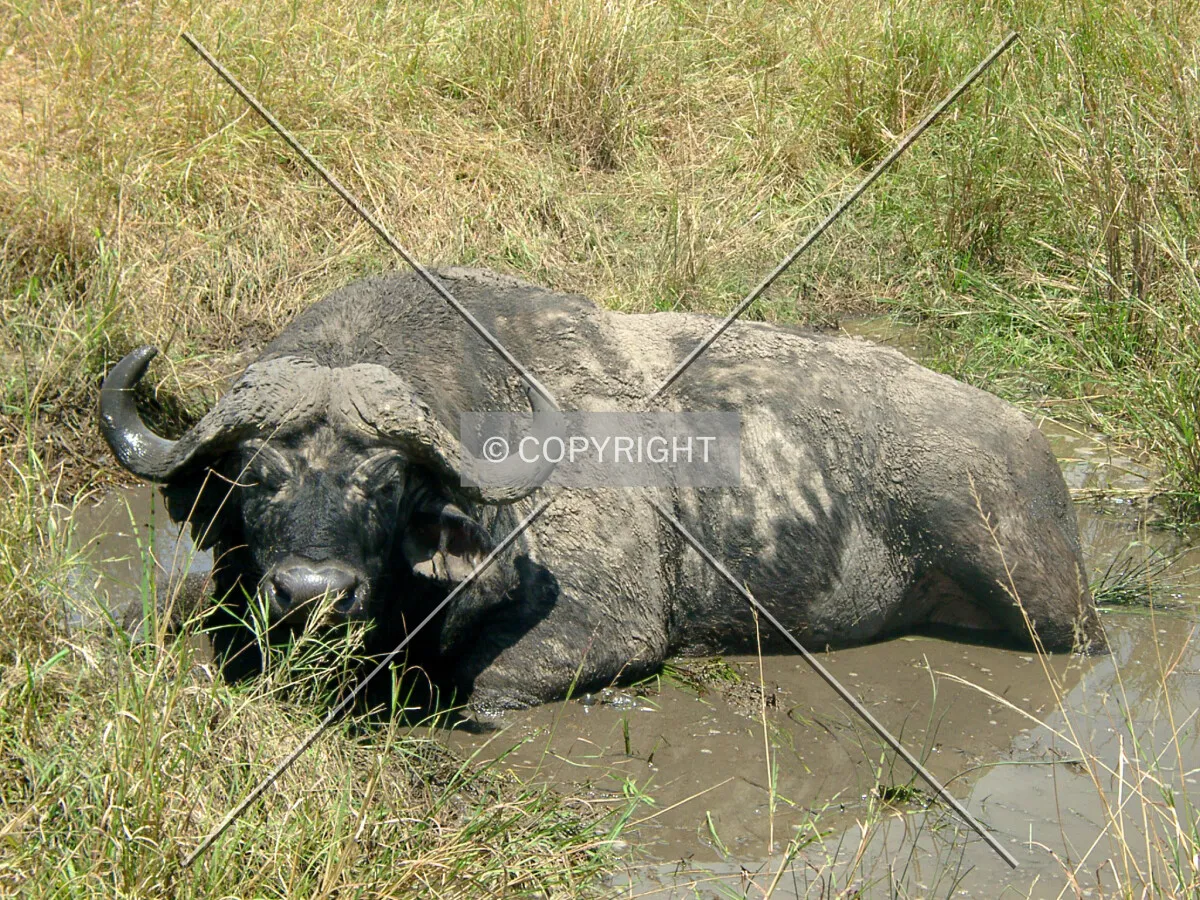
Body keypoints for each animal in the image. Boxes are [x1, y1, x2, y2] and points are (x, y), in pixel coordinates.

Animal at [101, 268, 1104, 715]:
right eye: (255, 478)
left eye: (383, 486)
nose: (312, 594)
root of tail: (1031, 444)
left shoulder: (602, 631)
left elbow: (480, 687)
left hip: (1037, 597)